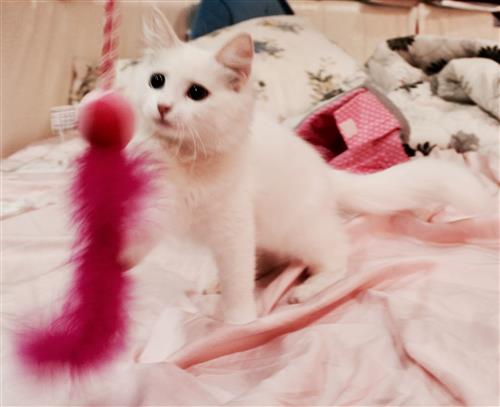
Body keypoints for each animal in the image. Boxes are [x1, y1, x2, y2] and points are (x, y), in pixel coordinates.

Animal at [120, 9, 489, 324]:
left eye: (197, 93)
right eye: (156, 81)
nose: (163, 107)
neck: (181, 159)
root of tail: (326, 171)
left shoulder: (232, 225)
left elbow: (239, 279)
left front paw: (239, 323)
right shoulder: (154, 210)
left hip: (300, 231)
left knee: (336, 255)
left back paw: (307, 289)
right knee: (267, 258)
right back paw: (219, 280)